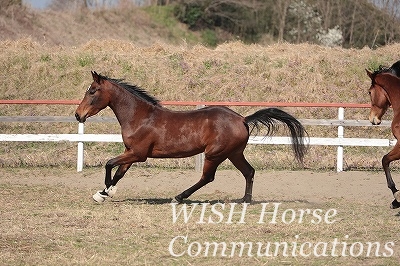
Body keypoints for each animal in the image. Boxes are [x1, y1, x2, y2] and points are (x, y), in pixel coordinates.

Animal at [74, 70, 306, 204]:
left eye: (92, 91)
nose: (78, 115)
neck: (140, 116)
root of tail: (243, 119)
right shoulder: (130, 152)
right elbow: (119, 172)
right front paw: (105, 192)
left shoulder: (138, 154)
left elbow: (109, 164)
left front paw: (105, 191)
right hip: (234, 153)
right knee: (249, 172)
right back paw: (245, 200)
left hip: (215, 154)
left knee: (207, 177)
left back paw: (179, 197)